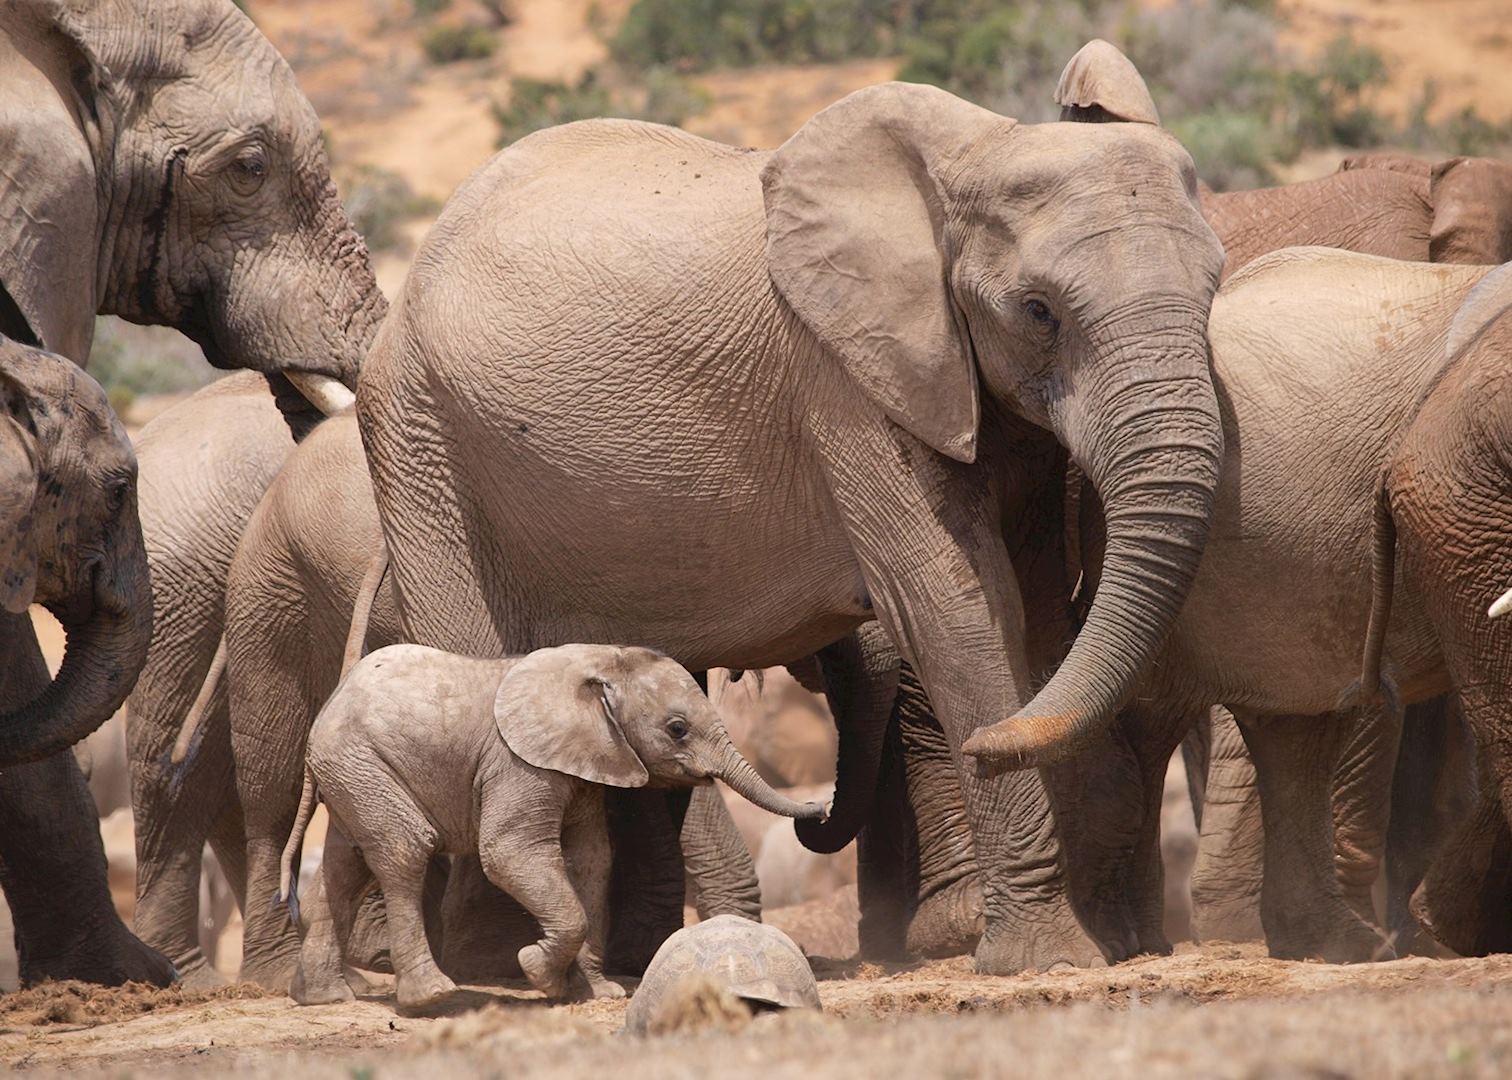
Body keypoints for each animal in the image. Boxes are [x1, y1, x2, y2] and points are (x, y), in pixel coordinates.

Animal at [282, 643, 822, 1010]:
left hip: (352, 774)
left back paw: (327, 997)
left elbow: (592, 860)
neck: (599, 660)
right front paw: (536, 971)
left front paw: (598, 992)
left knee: (346, 867)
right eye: (677, 729)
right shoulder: (516, 764)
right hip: (361, 763)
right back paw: (431, 996)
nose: (818, 811)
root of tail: (326, 712)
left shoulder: (586, 766)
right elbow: (508, 852)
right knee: (404, 849)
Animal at [357, 82, 1230, 975]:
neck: (980, 147)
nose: (988, 744)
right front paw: (1050, 960)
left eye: (1213, 289)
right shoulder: (846, 383)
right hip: (420, 444)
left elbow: (1045, 607)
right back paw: (495, 968)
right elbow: (957, 608)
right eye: (1038, 311)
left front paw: (1113, 946)